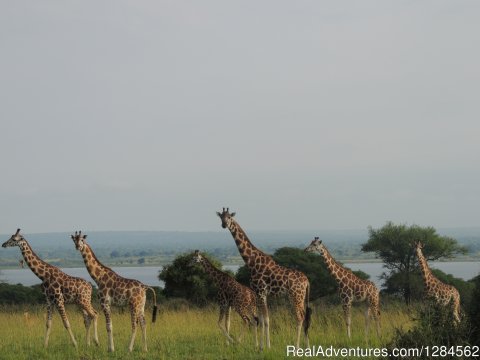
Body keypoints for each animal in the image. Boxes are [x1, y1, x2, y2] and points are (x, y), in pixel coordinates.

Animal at [218, 208, 312, 348]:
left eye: (229, 217)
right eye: (221, 217)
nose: (224, 225)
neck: (251, 262)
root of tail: (307, 281)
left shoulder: (262, 292)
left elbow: (266, 319)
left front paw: (267, 346)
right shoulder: (259, 294)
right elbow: (261, 319)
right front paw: (260, 346)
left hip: (296, 296)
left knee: (300, 317)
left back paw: (296, 347)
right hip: (300, 297)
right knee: (305, 316)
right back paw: (307, 346)